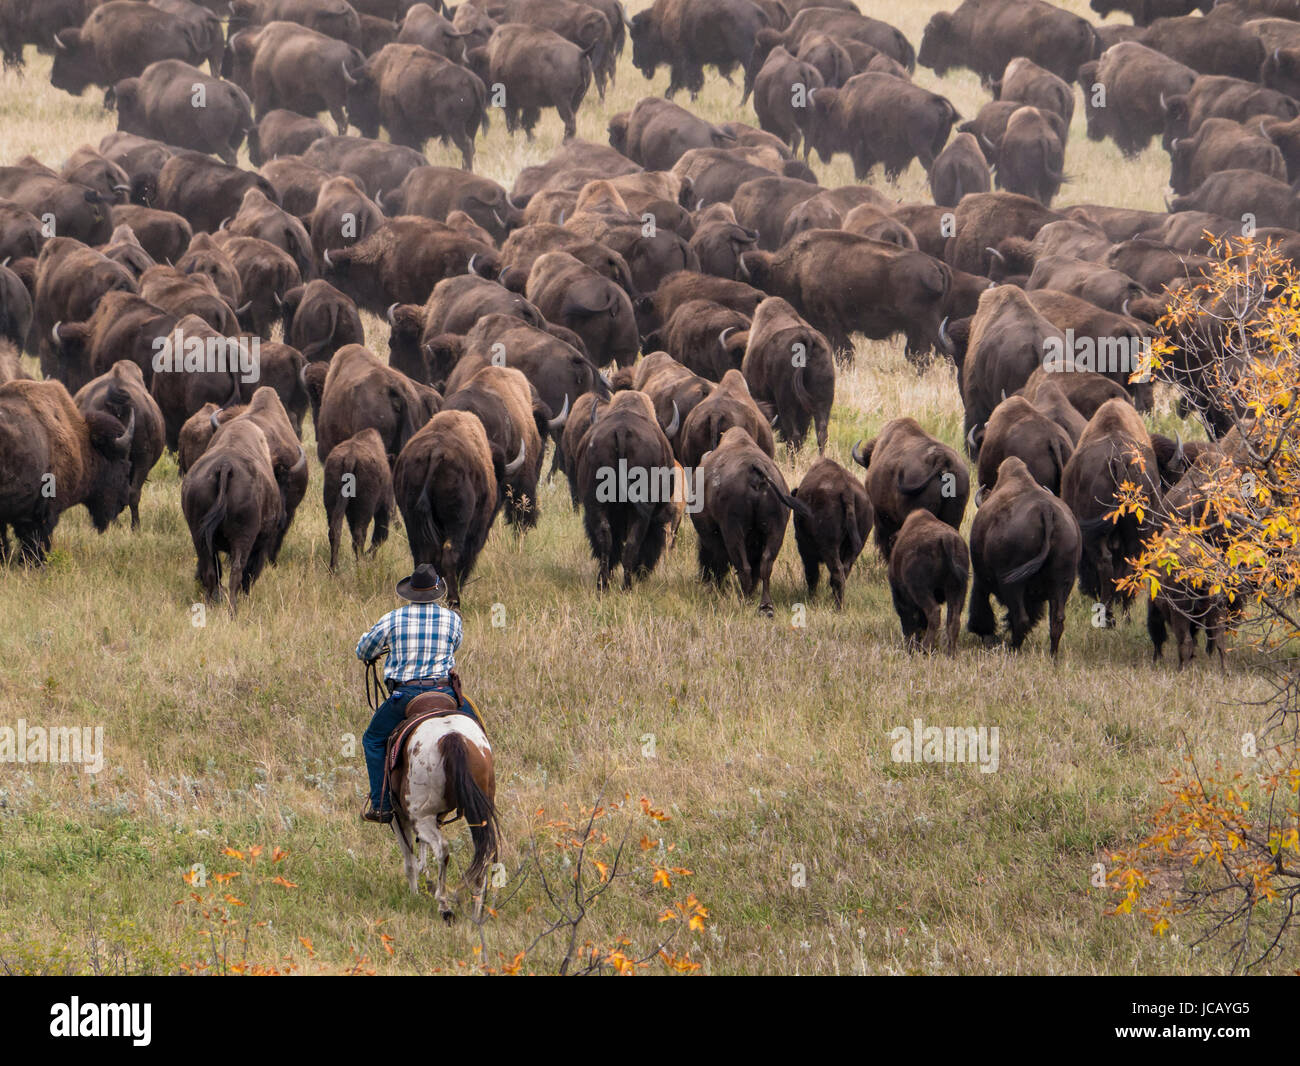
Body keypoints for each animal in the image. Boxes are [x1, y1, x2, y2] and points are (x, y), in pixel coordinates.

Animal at [384, 702, 496, 920]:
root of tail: (452, 736)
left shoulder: (398, 817)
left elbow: (409, 860)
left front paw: (415, 895)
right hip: (480, 812)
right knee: (484, 851)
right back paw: (476, 908)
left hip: (421, 815)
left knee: (442, 849)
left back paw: (444, 905)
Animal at [972, 454, 1081, 652]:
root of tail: (1046, 510)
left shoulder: (980, 578)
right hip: (1063, 582)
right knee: (1057, 621)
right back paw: (1053, 655)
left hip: (1012, 584)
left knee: (1020, 618)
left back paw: (1012, 648)